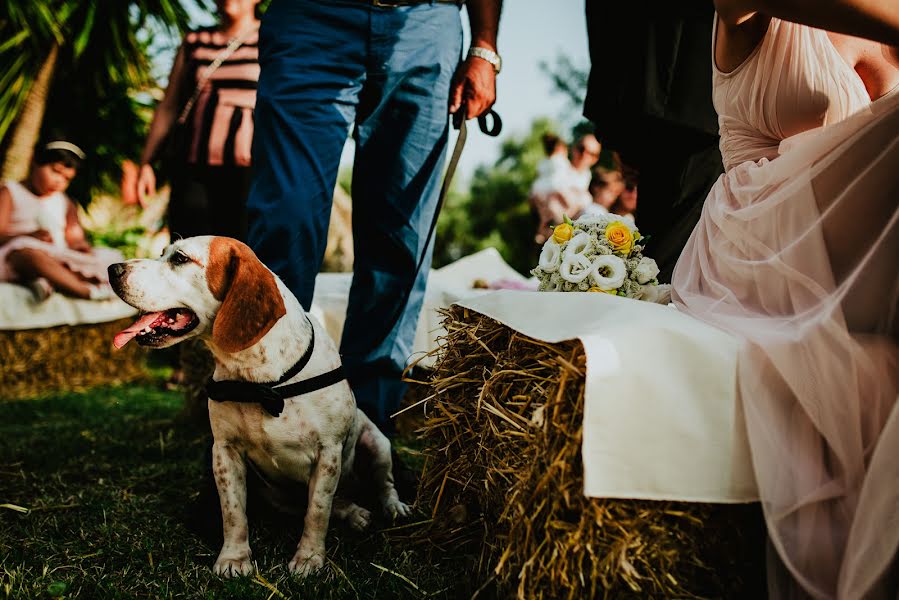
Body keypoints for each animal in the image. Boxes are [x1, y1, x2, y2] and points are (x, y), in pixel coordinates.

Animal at [108, 237, 412, 580]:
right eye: (164, 253)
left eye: (181, 259)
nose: (113, 269)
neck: (258, 379)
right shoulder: (225, 452)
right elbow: (233, 513)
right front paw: (234, 557)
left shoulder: (329, 454)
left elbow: (317, 511)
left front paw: (309, 557)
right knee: (339, 503)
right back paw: (354, 512)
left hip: (377, 444)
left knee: (382, 484)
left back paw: (391, 507)